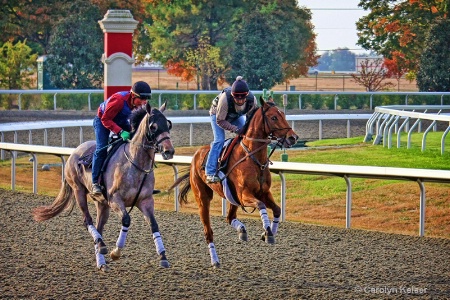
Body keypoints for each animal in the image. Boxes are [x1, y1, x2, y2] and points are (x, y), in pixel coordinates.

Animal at [31, 102, 175, 270]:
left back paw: (101, 260)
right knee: (88, 221)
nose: (169, 151)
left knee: (99, 227)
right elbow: (126, 220)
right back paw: (102, 247)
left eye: (168, 124)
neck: (134, 164)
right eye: (153, 127)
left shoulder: (145, 201)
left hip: (101, 203)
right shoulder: (115, 200)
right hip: (79, 191)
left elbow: (154, 225)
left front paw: (163, 256)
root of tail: (74, 152)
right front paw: (116, 252)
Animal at [170, 97, 298, 268]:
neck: (253, 159)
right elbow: (261, 205)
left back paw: (242, 230)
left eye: (282, 114)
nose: (293, 137)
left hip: (231, 197)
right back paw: (215, 261)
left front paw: (267, 233)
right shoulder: (244, 195)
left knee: (229, 218)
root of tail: (196, 154)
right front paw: (268, 231)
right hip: (203, 198)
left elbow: (277, 209)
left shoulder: (263, 192)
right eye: (273, 117)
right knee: (208, 232)